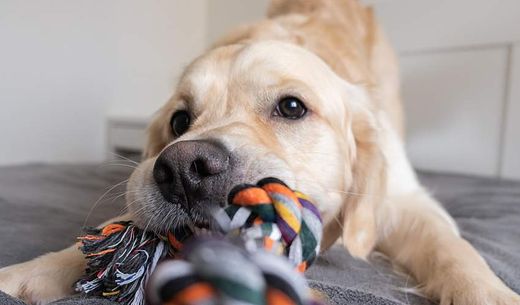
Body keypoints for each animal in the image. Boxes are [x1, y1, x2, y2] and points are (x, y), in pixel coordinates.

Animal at [1, 0, 520, 304]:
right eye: (179, 121)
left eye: (291, 106)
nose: (183, 169)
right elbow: (115, 231)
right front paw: (36, 270)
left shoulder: (404, 201)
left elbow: (453, 250)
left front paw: (489, 293)